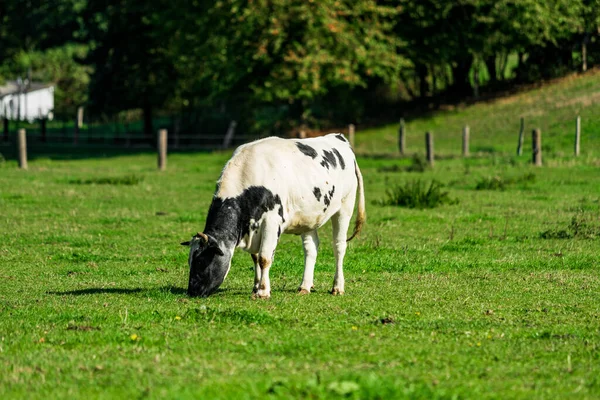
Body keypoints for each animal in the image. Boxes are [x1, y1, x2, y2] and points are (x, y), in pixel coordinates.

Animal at [180, 133, 366, 298]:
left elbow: (264, 258)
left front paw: (263, 292)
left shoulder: (271, 221)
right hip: (309, 217)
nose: (192, 291)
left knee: (339, 246)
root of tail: (338, 137)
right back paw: (305, 286)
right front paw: (256, 287)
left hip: (345, 206)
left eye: (201, 261)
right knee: (311, 248)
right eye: (190, 261)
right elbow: (255, 257)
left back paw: (338, 287)